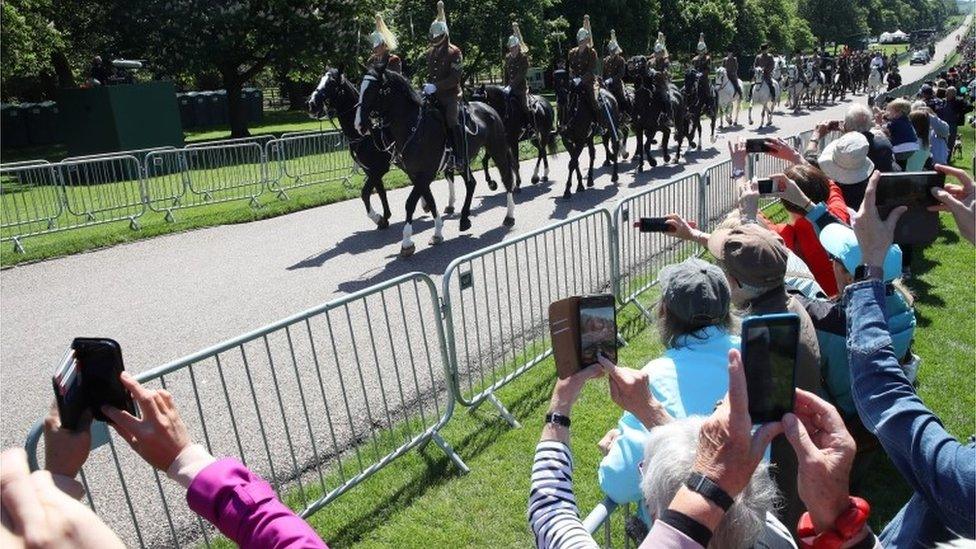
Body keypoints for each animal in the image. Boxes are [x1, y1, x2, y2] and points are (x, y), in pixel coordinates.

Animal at [308, 68, 392, 227]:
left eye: (331, 82)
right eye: (320, 79)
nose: (312, 104)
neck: (366, 134)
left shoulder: (378, 170)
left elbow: (365, 193)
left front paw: (376, 217)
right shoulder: (370, 171)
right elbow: (381, 192)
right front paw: (384, 218)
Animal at [354, 66, 516, 256]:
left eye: (373, 90)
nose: (359, 125)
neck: (414, 127)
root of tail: (488, 108)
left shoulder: (425, 174)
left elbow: (410, 203)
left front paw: (407, 242)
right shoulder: (416, 175)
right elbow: (430, 201)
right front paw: (437, 232)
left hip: (497, 150)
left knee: (507, 178)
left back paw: (509, 216)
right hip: (463, 162)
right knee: (471, 184)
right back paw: (464, 219)